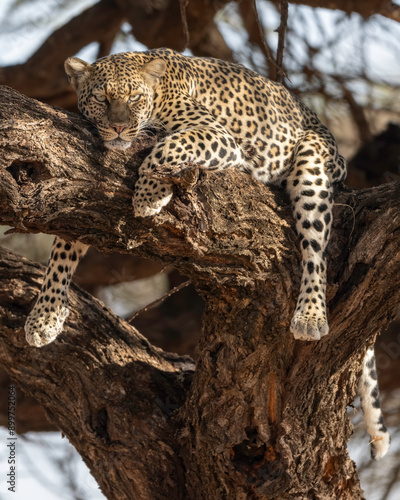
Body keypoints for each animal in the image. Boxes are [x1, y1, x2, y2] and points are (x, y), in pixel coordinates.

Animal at [23, 48, 390, 458]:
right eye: (103, 99)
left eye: (133, 99)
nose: (118, 129)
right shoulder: (85, 204)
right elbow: (62, 249)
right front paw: (45, 316)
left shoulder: (217, 135)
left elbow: (164, 147)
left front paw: (149, 193)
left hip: (311, 163)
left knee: (317, 247)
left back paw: (310, 315)